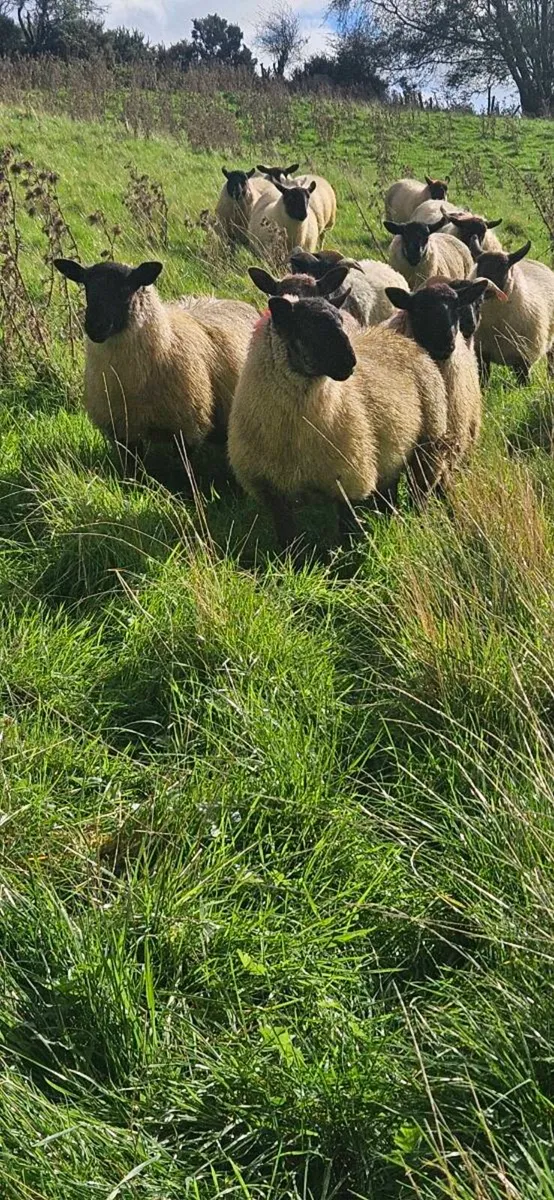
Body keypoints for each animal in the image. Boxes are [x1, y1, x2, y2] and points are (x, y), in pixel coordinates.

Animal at [228, 293, 449, 549]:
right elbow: (287, 537)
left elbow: (346, 528)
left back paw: (416, 522)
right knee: (390, 490)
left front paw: (348, 553)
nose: (350, 362)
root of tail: (400, 339)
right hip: (391, 455)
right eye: (308, 326)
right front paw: (291, 557)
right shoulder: (272, 488)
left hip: (428, 445)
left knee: (419, 492)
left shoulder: (347, 479)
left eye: (341, 322)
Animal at [471, 241, 554, 383]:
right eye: (479, 263)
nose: (484, 287)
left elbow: (524, 382)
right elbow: (483, 379)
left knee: (551, 362)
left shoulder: (523, 356)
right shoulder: (481, 353)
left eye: (504, 266)